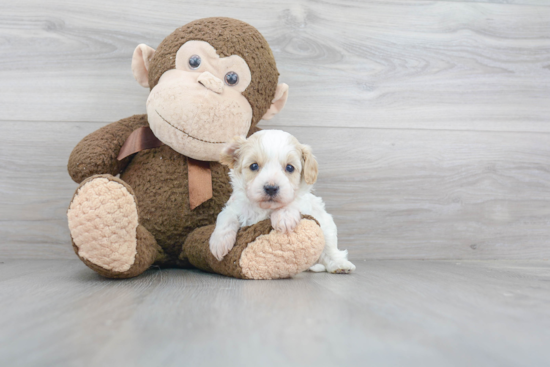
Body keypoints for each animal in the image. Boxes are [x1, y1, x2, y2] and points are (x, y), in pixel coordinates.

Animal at [209, 129, 356, 274]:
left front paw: (284, 217)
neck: (265, 208)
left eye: (290, 168)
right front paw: (219, 242)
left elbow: (292, 203)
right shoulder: (235, 206)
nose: (271, 188)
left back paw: (340, 264)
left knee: (330, 250)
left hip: (326, 226)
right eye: (254, 166)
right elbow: (225, 217)